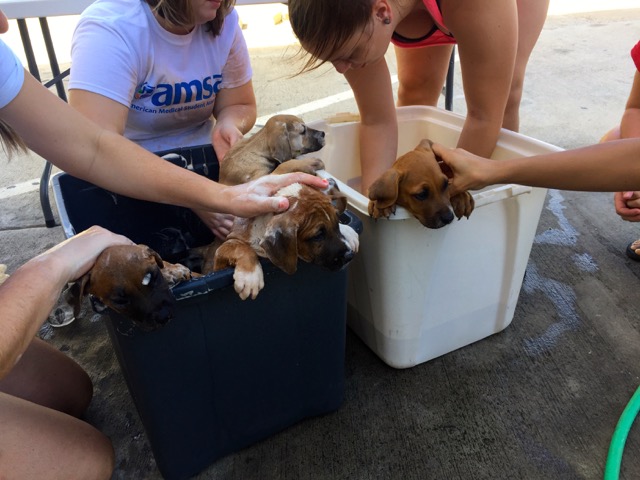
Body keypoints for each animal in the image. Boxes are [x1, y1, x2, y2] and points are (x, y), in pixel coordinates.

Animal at [210, 181, 360, 300]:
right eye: (318, 236)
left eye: (336, 225)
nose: (349, 256)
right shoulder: (222, 254)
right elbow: (240, 247)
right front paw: (250, 276)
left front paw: (347, 231)